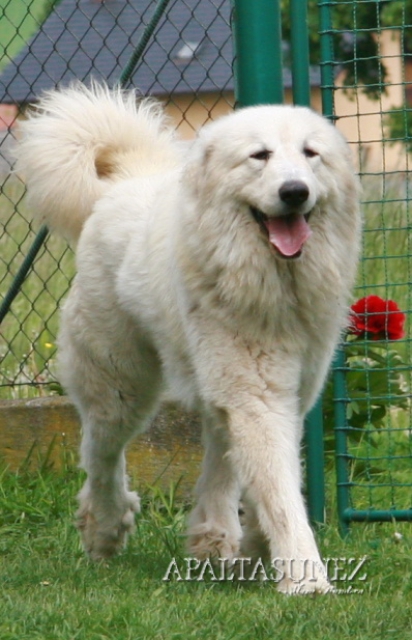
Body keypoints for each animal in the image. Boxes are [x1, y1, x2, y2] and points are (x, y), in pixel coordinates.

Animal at [16, 83, 361, 593]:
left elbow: (266, 477)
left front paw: (257, 548)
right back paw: (106, 527)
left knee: (216, 451)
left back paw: (214, 536)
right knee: (101, 452)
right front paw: (306, 579)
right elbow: (280, 491)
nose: (294, 191)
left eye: (310, 154)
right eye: (260, 156)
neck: (273, 284)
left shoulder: (287, 392)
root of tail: (123, 183)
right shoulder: (256, 394)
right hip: (121, 386)